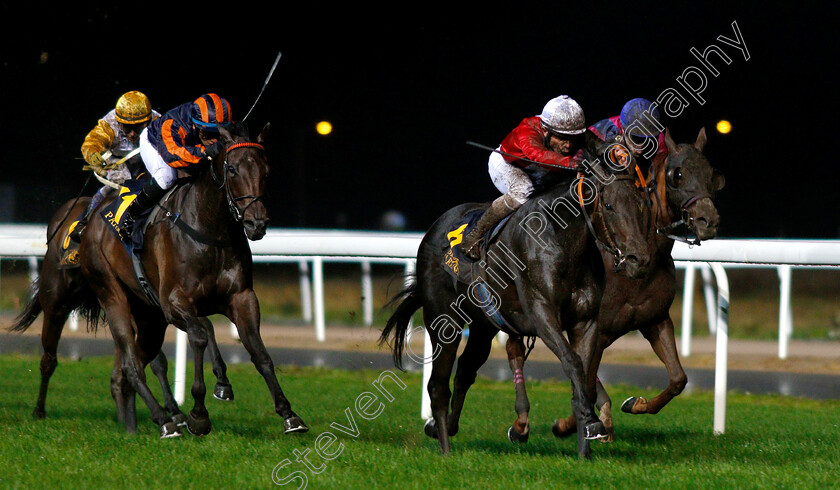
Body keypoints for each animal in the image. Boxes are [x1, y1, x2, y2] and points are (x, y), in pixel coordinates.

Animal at [378, 147, 652, 458]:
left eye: (641, 205)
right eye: (608, 205)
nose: (639, 260)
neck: (562, 240)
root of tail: (433, 230)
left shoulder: (585, 321)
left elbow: (583, 370)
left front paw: (586, 440)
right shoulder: (542, 314)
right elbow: (571, 361)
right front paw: (589, 424)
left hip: (483, 325)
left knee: (465, 371)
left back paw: (441, 427)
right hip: (442, 320)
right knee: (438, 384)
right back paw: (445, 448)